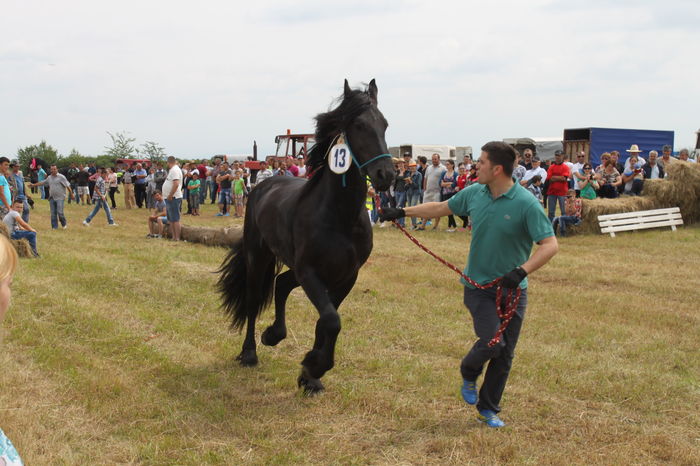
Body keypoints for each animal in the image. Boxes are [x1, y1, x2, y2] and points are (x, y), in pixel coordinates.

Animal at [218, 79, 395, 394]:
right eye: (359, 125)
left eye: (384, 124)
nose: (386, 175)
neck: (340, 217)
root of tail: (264, 182)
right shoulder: (311, 272)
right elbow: (332, 320)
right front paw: (315, 364)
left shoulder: (345, 276)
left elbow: (326, 321)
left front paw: (310, 376)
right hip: (258, 256)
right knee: (253, 300)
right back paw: (250, 351)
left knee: (281, 284)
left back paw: (274, 334)